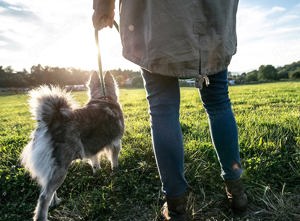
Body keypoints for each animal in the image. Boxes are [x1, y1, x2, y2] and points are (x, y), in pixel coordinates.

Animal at [21, 71, 124, 220]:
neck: (103, 98)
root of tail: (51, 121)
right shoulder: (116, 143)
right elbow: (114, 160)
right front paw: (115, 171)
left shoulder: (92, 150)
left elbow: (95, 162)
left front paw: (97, 173)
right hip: (61, 167)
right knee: (44, 196)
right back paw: (42, 216)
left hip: (52, 168)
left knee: (47, 189)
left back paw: (55, 202)